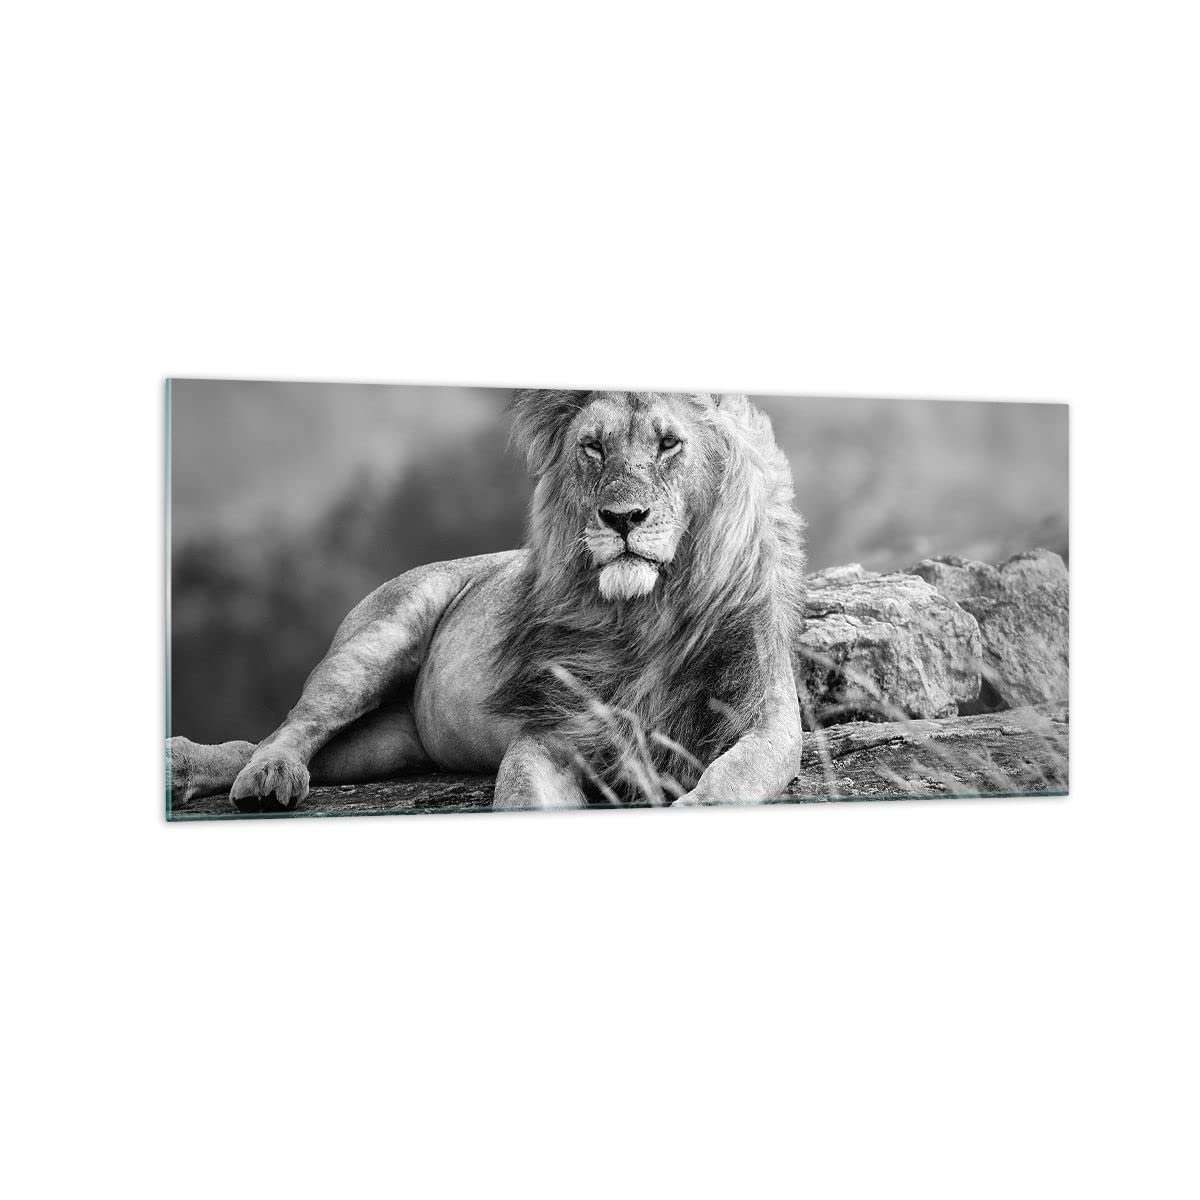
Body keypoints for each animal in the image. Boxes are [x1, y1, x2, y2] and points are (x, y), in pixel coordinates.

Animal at [168, 389, 807, 812]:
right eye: (593, 448)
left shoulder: (768, 723)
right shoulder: (553, 730)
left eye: (669, 443)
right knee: (291, 728)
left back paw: (189, 767)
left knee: (283, 745)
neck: (648, 614)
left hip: (389, 745)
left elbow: (726, 784)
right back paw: (260, 775)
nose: (622, 518)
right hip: (374, 643)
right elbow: (523, 795)